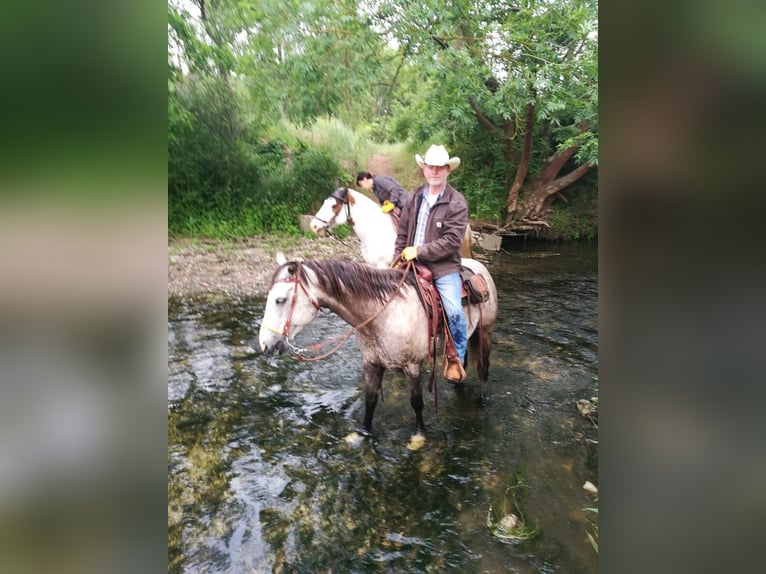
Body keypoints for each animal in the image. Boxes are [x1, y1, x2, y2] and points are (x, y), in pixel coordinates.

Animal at [258, 255, 498, 436]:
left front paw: (419, 434)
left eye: (280, 300)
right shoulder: (371, 363)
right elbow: (371, 400)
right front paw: (364, 433)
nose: (264, 344)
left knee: (483, 368)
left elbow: (416, 403)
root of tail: (478, 266)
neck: (383, 314)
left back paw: (483, 401)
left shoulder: (412, 366)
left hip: (485, 331)